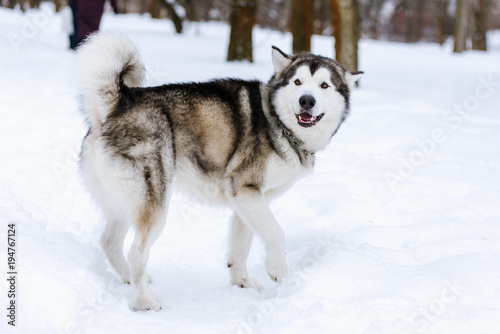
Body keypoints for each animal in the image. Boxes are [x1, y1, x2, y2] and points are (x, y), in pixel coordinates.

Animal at [76, 34, 362, 310]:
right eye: (297, 82)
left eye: (324, 86)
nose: (306, 100)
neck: (279, 124)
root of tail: (118, 104)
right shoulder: (244, 189)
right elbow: (276, 233)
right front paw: (277, 269)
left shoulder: (247, 200)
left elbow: (241, 245)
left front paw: (241, 281)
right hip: (154, 201)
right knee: (136, 253)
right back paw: (143, 301)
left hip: (125, 202)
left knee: (109, 242)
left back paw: (131, 279)